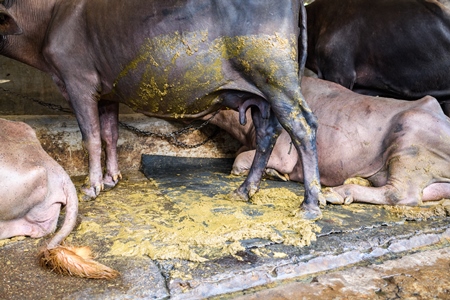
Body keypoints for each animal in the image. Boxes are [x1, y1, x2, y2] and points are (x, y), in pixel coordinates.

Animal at [0, 1, 324, 219]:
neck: (48, 18)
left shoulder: (77, 81)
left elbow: (90, 137)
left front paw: (92, 187)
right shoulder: (107, 91)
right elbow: (109, 134)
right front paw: (111, 178)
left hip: (273, 76)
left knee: (302, 126)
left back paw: (309, 205)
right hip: (261, 94)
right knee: (268, 131)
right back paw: (245, 190)